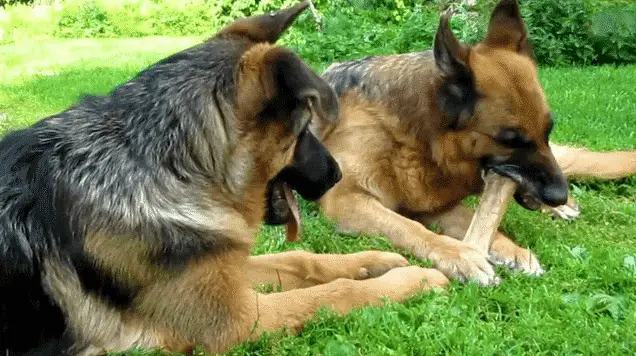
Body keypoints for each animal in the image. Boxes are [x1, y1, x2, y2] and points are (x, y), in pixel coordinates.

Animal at [0, 3, 450, 356]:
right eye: (304, 128)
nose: (339, 174)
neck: (161, 165)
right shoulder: (238, 321)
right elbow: (333, 294)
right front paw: (415, 278)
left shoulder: (224, 271)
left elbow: (301, 259)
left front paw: (373, 260)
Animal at [310, 0, 636, 286]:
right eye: (509, 140)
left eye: (548, 130)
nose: (557, 195)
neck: (416, 137)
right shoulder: (348, 199)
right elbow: (409, 227)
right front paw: (459, 255)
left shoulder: (433, 203)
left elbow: (470, 221)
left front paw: (512, 249)